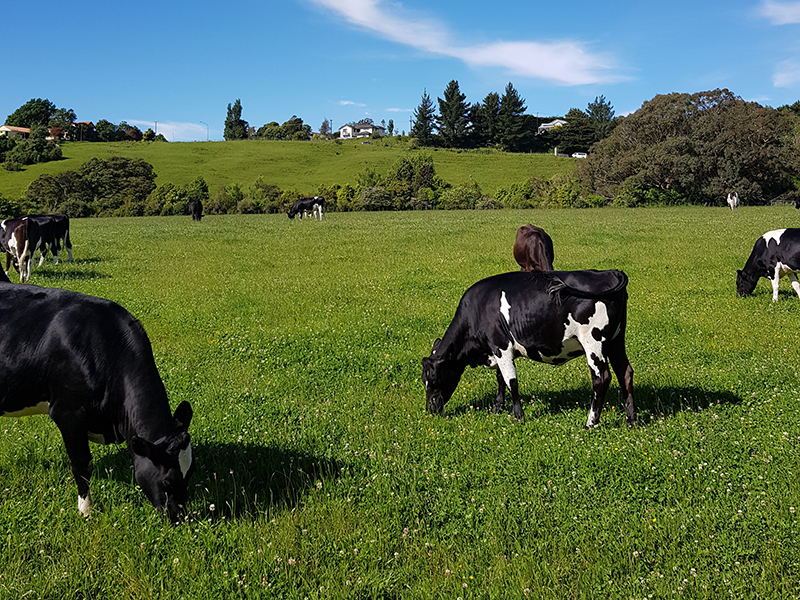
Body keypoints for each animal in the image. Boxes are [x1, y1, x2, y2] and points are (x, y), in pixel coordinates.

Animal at [0, 284, 195, 524]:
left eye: (190, 472)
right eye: (168, 481)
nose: (179, 517)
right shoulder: (68, 413)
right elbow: (82, 464)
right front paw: (86, 510)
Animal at [422, 270, 636, 428]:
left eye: (434, 379)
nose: (430, 410)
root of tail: (609, 272)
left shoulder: (501, 345)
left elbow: (511, 382)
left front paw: (518, 416)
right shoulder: (497, 351)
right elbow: (500, 379)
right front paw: (497, 408)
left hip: (594, 342)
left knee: (601, 378)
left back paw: (590, 423)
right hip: (616, 341)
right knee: (625, 373)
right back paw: (631, 420)